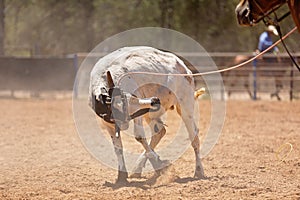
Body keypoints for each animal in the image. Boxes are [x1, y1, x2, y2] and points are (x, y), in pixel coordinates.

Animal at [88, 45, 206, 183]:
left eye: (134, 97)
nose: (154, 100)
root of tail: (183, 66)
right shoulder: (108, 123)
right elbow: (118, 147)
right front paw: (122, 175)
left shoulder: (138, 115)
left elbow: (139, 136)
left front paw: (159, 163)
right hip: (150, 114)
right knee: (159, 131)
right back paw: (138, 169)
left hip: (185, 105)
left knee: (194, 136)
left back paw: (199, 170)